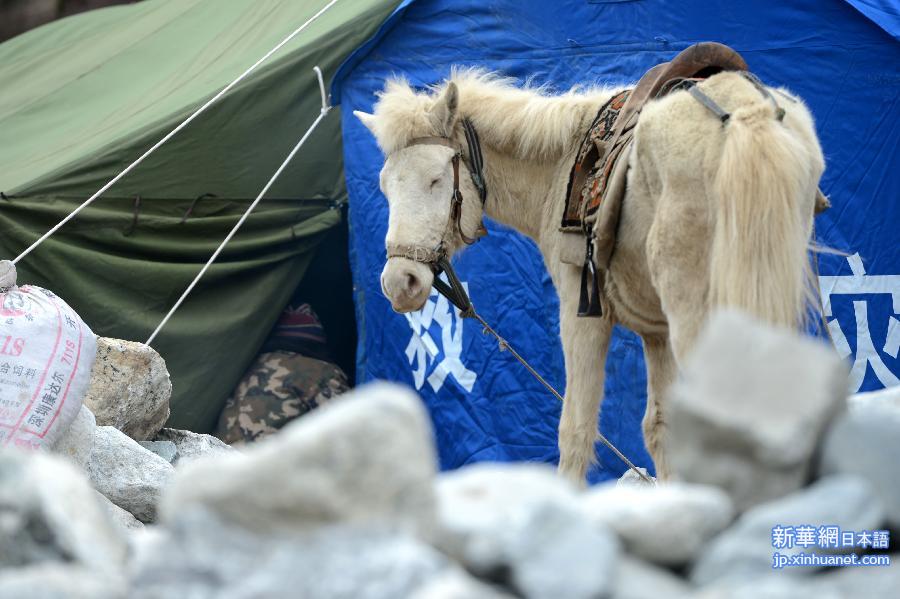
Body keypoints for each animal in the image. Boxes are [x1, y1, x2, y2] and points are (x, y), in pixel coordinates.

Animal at [356, 68, 828, 486]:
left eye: (436, 179)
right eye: (384, 186)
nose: (400, 281)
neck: (559, 168)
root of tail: (747, 113)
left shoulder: (582, 316)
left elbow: (576, 430)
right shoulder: (657, 334)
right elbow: (661, 427)